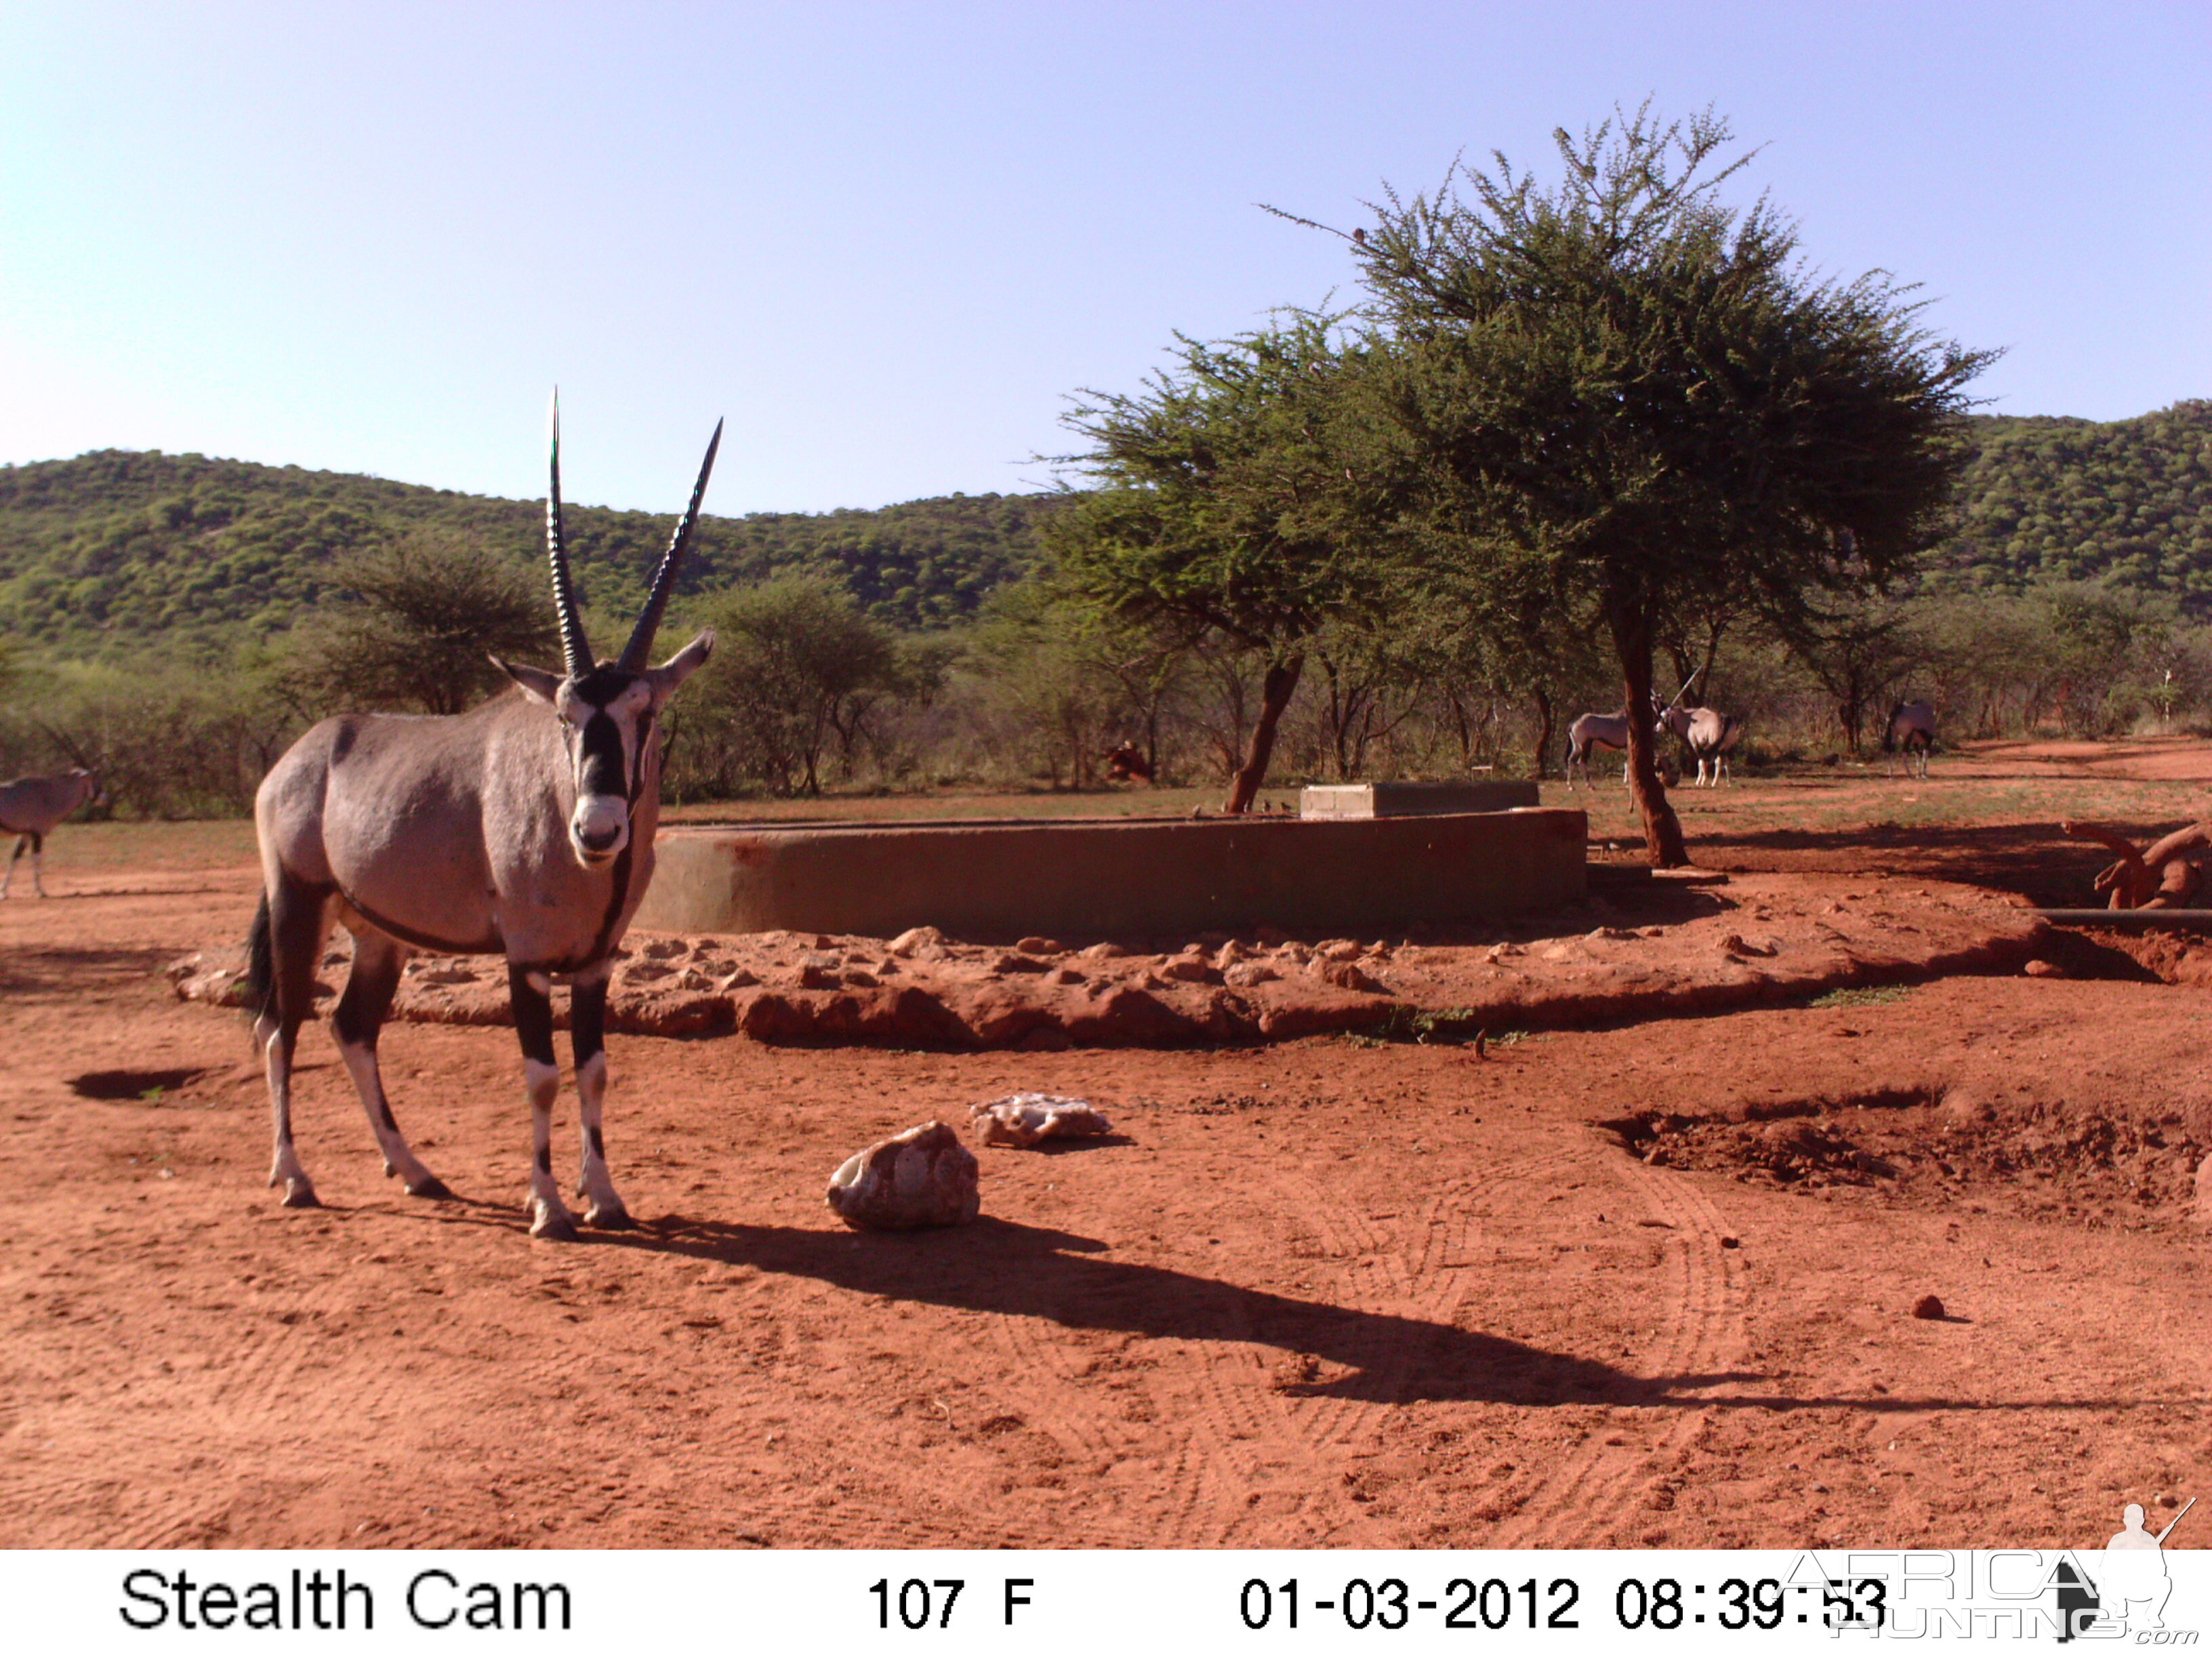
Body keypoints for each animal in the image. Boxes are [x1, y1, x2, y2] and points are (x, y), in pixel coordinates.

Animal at [0, 765, 102, 898]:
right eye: (95, 780)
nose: (104, 799)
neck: (50, 795)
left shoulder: (26, 835)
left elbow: (15, 858)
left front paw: (4, 891)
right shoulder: (37, 834)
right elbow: (37, 859)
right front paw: (40, 891)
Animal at [246, 400, 721, 1238]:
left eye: (646, 712)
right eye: (564, 716)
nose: (597, 831)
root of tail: (298, 756)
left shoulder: (597, 963)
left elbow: (594, 1071)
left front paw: (605, 1197)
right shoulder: (524, 961)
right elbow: (541, 1076)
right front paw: (549, 1207)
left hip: (377, 935)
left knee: (350, 1028)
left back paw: (415, 1172)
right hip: (298, 906)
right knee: (281, 1027)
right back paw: (295, 1177)